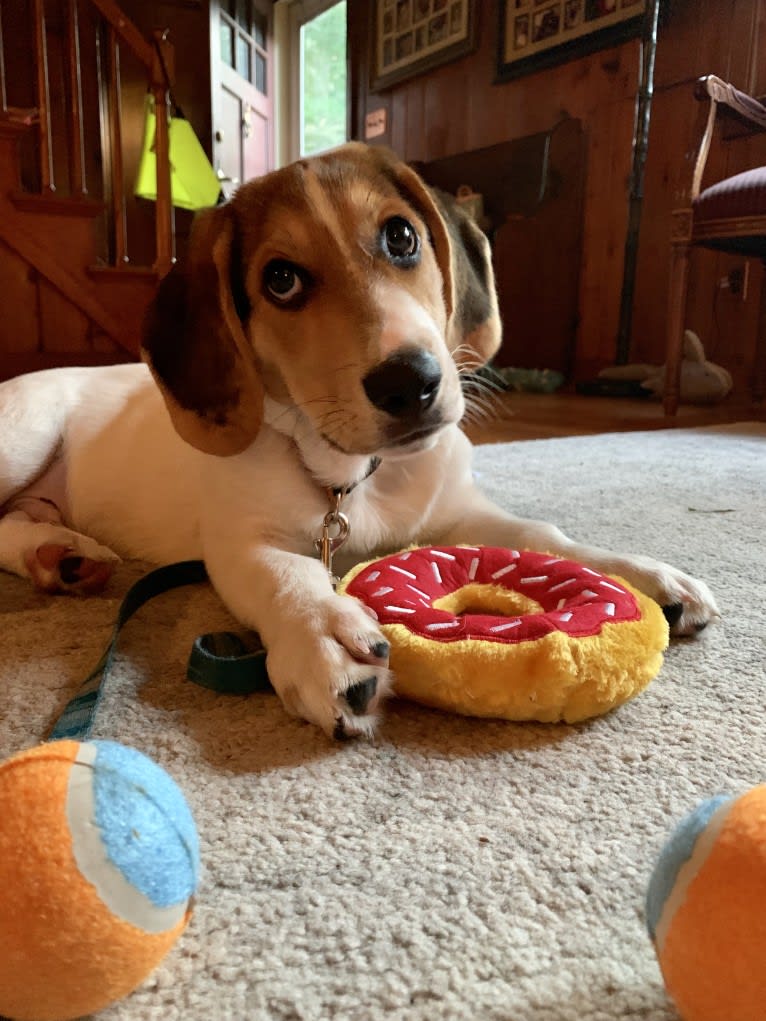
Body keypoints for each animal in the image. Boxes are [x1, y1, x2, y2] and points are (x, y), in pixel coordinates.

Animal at [0, 141, 719, 735]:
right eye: (281, 279)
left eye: (401, 237)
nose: (411, 382)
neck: (358, 475)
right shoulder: (239, 541)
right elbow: (287, 575)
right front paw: (324, 637)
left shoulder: (457, 510)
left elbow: (541, 536)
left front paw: (642, 574)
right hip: (25, 433)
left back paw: (61, 554)